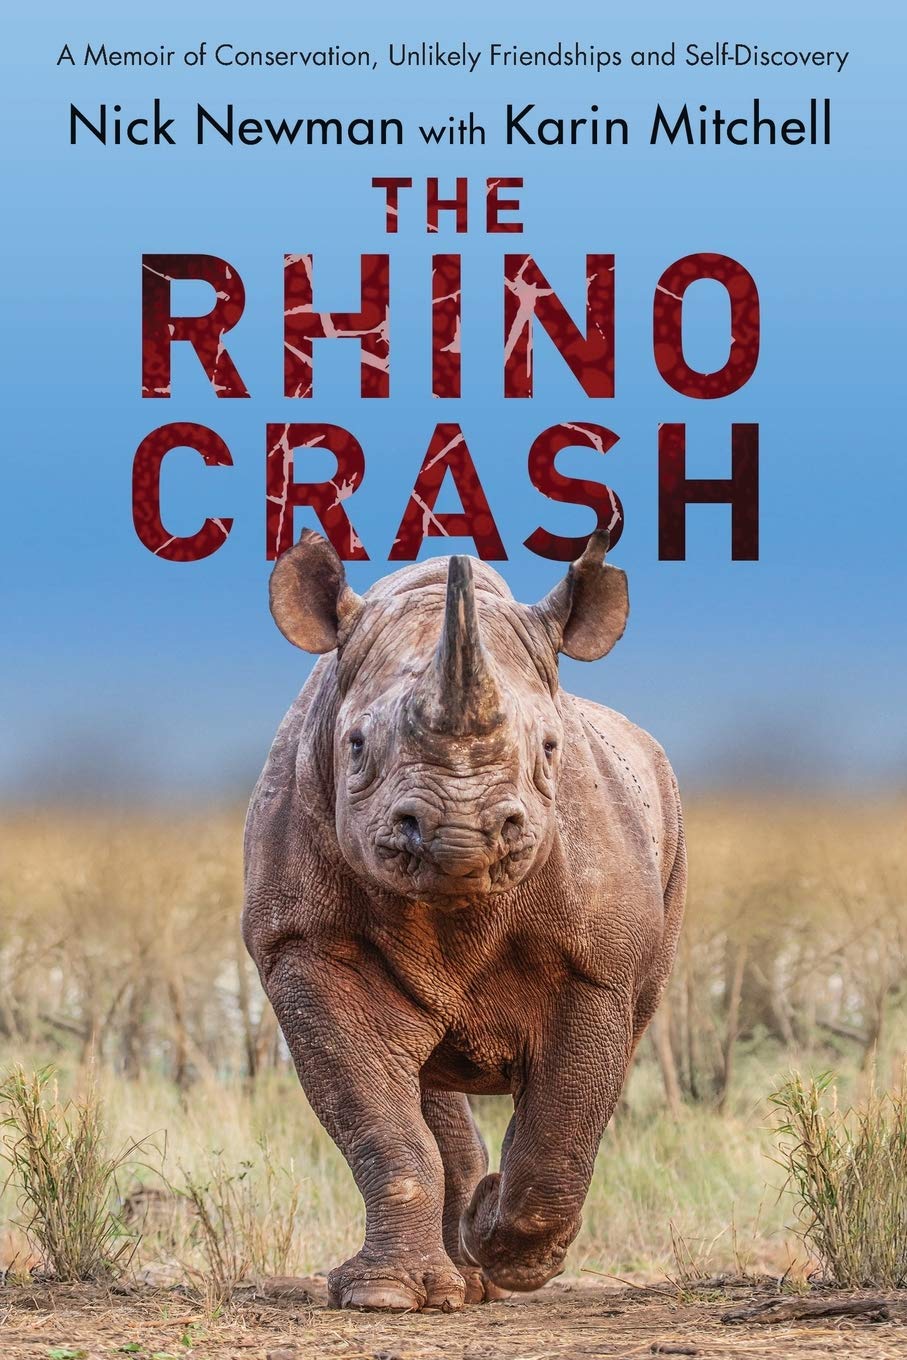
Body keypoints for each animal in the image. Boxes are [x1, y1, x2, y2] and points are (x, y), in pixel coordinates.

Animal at [243, 528, 686, 1312]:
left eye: (549, 749)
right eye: (356, 745)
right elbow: (377, 1121)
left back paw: (481, 1260)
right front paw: (384, 1295)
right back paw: (457, 1282)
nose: (461, 832)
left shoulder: (596, 965)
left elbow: (563, 1124)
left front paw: (508, 1248)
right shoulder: (302, 943)